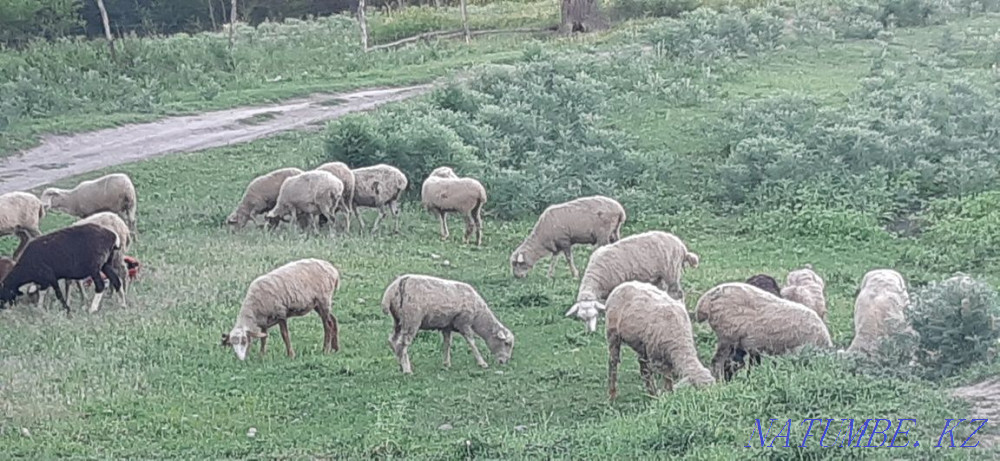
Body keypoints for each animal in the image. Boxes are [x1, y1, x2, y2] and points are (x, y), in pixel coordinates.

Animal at [380, 274, 514, 374]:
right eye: (506, 343)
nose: (504, 362)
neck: (478, 316)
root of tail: (395, 286)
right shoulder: (464, 322)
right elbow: (472, 343)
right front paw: (482, 363)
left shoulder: (446, 326)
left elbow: (447, 344)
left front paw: (446, 364)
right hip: (411, 319)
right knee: (402, 343)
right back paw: (407, 370)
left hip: (398, 320)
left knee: (392, 340)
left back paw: (400, 364)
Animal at [565, 231, 699, 333]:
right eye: (582, 318)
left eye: (594, 315)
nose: (590, 332)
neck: (596, 277)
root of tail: (681, 246)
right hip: (658, 276)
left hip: (672, 271)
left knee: (677, 293)